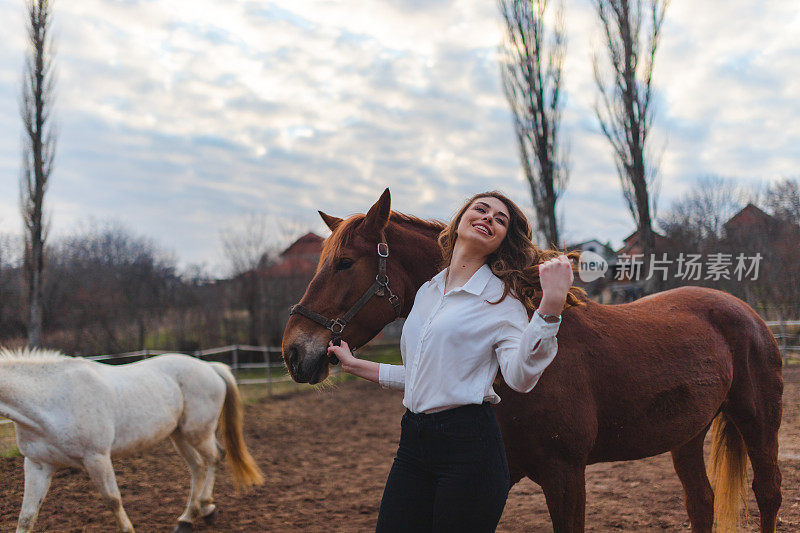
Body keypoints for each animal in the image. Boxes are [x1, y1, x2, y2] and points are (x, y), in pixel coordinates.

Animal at [0, 348, 264, 528]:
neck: (51, 399)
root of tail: (210, 366)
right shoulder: (38, 464)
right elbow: (27, 516)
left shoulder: (97, 458)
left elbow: (113, 500)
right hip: (178, 435)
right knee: (198, 467)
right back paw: (189, 518)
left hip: (197, 433)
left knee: (214, 458)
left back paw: (204, 508)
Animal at [282, 189, 780, 528]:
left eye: (345, 263)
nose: (294, 351)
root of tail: (749, 313)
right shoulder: (498, 477)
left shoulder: (566, 475)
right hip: (687, 435)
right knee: (701, 502)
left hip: (757, 423)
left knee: (768, 493)